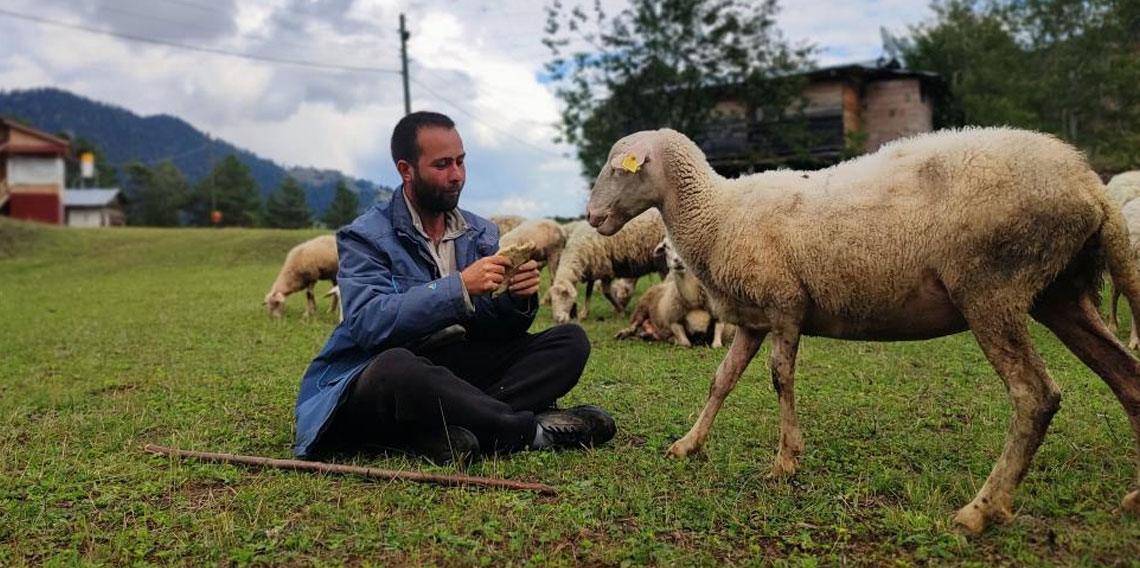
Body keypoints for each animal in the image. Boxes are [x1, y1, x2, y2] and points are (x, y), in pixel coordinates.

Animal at [588, 127, 1140, 531]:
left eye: (619, 167)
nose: (592, 216)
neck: (716, 212)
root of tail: (1090, 185)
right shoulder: (753, 318)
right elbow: (721, 380)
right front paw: (689, 444)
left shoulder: (785, 306)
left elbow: (780, 378)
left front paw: (786, 461)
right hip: (1060, 294)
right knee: (1127, 379)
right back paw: (1133, 497)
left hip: (992, 289)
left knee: (1035, 395)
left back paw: (980, 510)